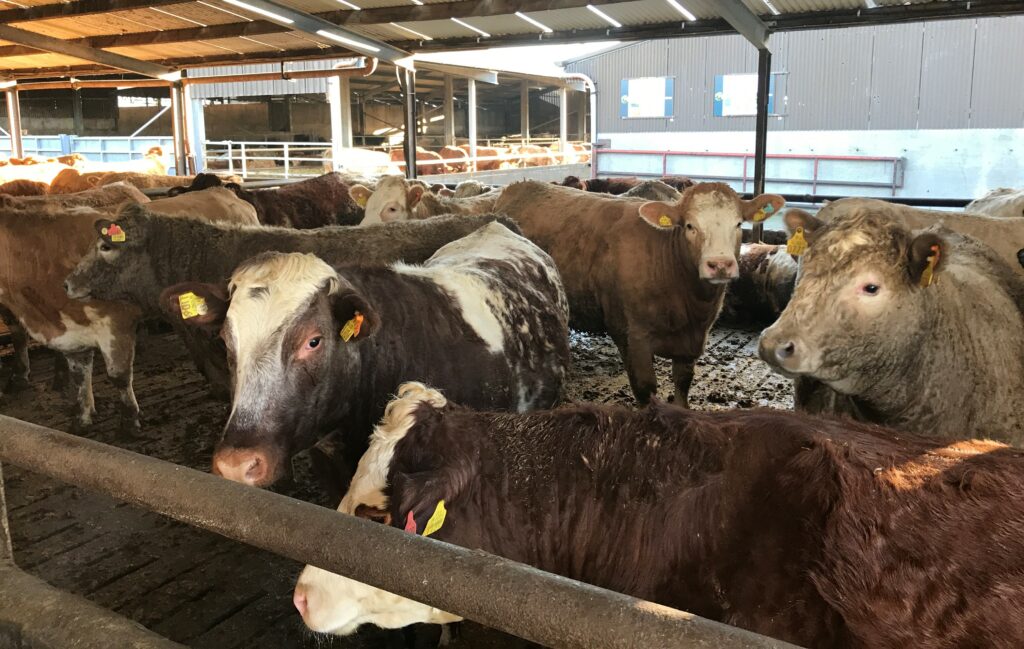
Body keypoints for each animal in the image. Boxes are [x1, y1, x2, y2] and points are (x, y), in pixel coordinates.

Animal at [496, 180, 784, 405]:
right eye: (689, 225)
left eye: (738, 224)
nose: (720, 264)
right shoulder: (631, 337)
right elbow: (646, 391)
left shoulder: (690, 343)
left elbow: (682, 386)